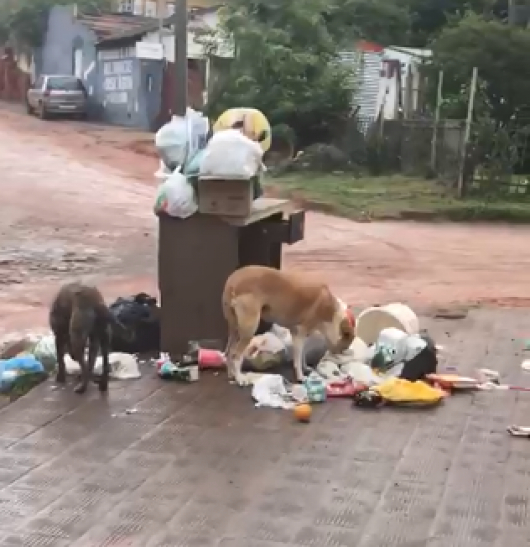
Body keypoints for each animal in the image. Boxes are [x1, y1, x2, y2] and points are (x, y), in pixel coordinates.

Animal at [221, 268, 352, 388]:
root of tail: (232, 280)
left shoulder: (298, 334)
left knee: (229, 352)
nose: (343, 352)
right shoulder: (299, 333)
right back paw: (240, 378)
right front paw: (300, 377)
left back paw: (231, 375)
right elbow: (298, 359)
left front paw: (305, 367)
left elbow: (302, 355)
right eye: (347, 342)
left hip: (235, 329)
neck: (331, 311)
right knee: (236, 355)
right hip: (249, 328)